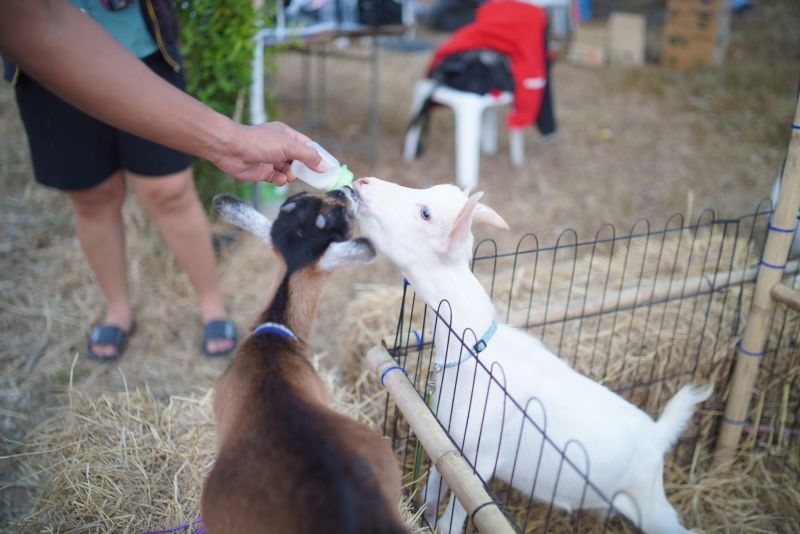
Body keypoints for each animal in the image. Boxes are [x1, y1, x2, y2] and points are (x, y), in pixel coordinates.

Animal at [354, 179, 712, 534]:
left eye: (426, 213)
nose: (362, 182)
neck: (472, 352)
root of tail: (659, 433)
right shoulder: (449, 443)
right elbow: (431, 491)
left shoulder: (480, 458)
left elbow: (452, 519)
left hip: (649, 503)